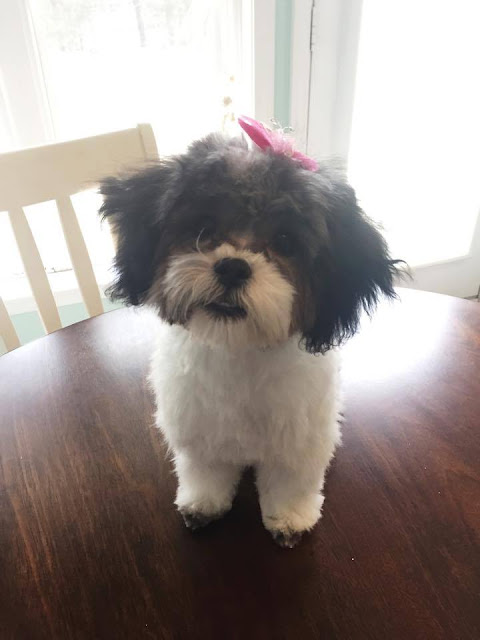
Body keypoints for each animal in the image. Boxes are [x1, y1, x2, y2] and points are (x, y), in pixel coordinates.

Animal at [100, 126, 399, 547]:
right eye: (203, 229)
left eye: (286, 241)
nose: (233, 266)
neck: (238, 349)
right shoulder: (199, 431)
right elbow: (205, 470)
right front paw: (203, 503)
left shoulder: (299, 438)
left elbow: (292, 480)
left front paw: (290, 518)